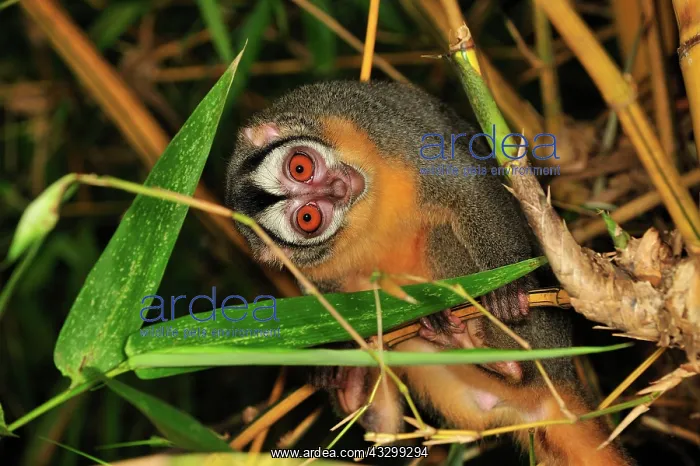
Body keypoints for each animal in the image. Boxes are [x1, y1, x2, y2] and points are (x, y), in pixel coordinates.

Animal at [225, 80, 631, 465]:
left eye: (300, 167)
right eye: (308, 218)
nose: (338, 188)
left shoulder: (363, 119)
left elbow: (466, 185)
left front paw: (505, 285)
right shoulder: (310, 265)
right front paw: (340, 354)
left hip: (543, 338)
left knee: (441, 233)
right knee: (386, 424)